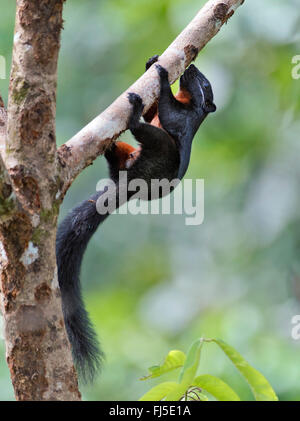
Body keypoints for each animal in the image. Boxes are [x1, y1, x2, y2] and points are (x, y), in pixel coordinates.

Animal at [55, 55, 216, 380]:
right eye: (200, 77)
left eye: (205, 85)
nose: (191, 68)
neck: (189, 102)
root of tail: (132, 185)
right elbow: (156, 111)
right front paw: (152, 63)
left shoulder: (183, 118)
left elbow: (165, 110)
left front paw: (163, 75)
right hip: (128, 155)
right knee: (117, 155)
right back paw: (109, 145)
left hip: (159, 149)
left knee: (149, 134)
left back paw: (132, 115)